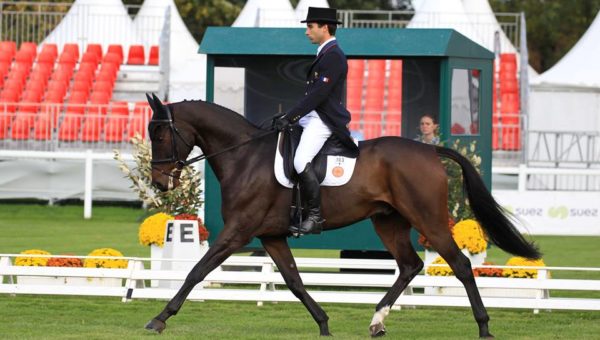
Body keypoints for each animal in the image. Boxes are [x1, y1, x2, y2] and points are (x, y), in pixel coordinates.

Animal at [144, 94, 540, 338]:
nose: (160, 183)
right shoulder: (271, 236)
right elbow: (294, 281)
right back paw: (377, 321)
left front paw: (160, 319)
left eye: (161, 133)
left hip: (428, 219)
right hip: (388, 221)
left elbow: (196, 271)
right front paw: (323, 324)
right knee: (410, 265)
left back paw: (484, 327)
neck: (245, 156)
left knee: (460, 264)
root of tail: (430, 150)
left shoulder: (238, 231)